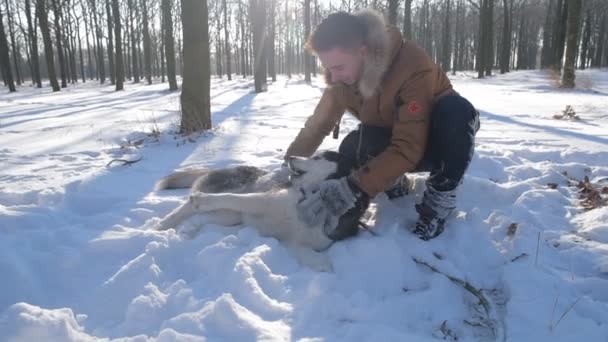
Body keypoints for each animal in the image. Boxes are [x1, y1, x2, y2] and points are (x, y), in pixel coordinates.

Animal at [154, 152, 368, 256]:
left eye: (317, 158)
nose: (289, 157)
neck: (312, 198)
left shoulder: (296, 242)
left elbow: (321, 263)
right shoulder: (261, 201)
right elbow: (228, 198)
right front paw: (201, 199)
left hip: (230, 216)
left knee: (202, 217)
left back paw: (187, 229)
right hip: (233, 203)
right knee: (190, 207)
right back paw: (163, 225)